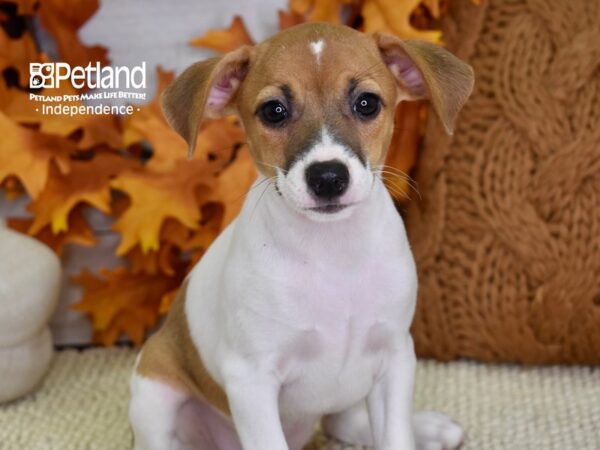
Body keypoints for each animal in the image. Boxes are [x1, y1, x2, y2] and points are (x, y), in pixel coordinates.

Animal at [127, 22, 474, 450]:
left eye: (367, 104)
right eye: (274, 111)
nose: (327, 177)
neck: (332, 252)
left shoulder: (395, 356)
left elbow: (395, 437)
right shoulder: (251, 379)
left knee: (344, 422)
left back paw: (426, 428)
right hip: (154, 393)